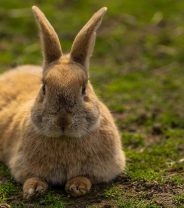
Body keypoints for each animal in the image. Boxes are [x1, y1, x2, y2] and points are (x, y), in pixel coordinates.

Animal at [0, 5, 126, 199]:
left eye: (84, 89)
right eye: (44, 88)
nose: (63, 121)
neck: (64, 138)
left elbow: (85, 176)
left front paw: (77, 186)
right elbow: (32, 176)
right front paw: (33, 189)